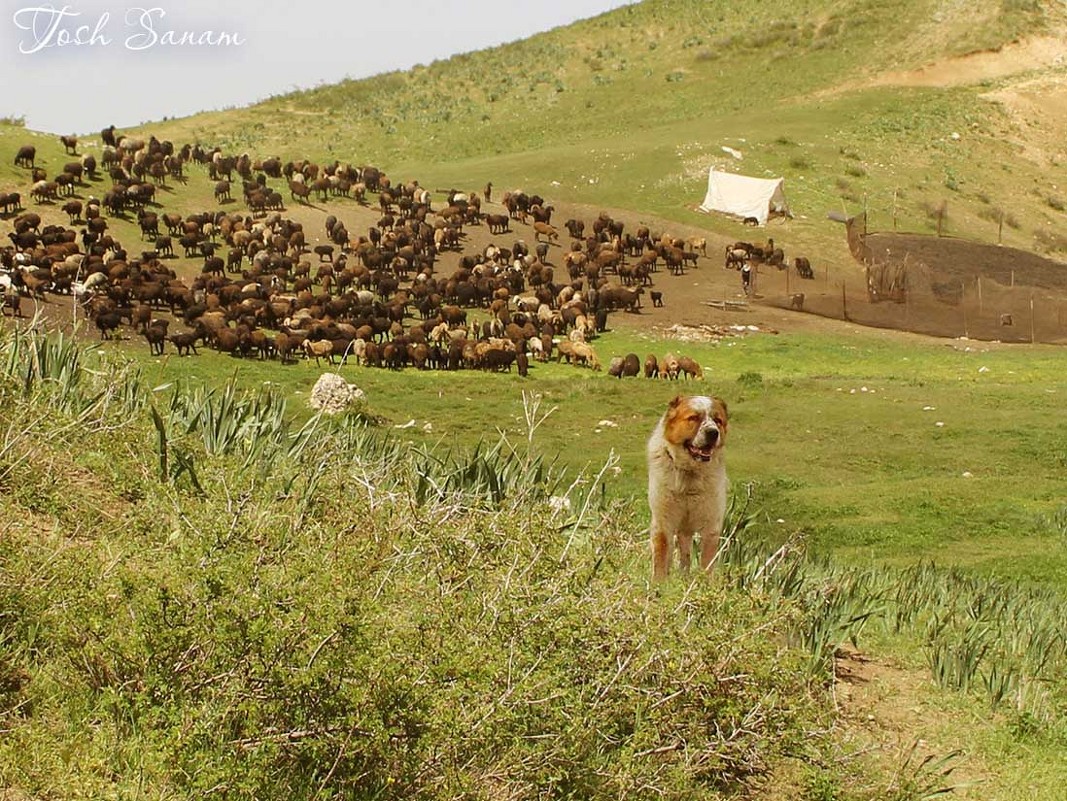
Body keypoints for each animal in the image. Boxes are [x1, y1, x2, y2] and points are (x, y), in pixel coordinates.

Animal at [644, 396, 729, 580]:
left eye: (718, 420)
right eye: (693, 418)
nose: (713, 432)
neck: (690, 475)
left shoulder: (711, 525)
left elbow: (707, 561)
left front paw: (704, 583)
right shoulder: (663, 521)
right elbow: (661, 557)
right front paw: (659, 582)